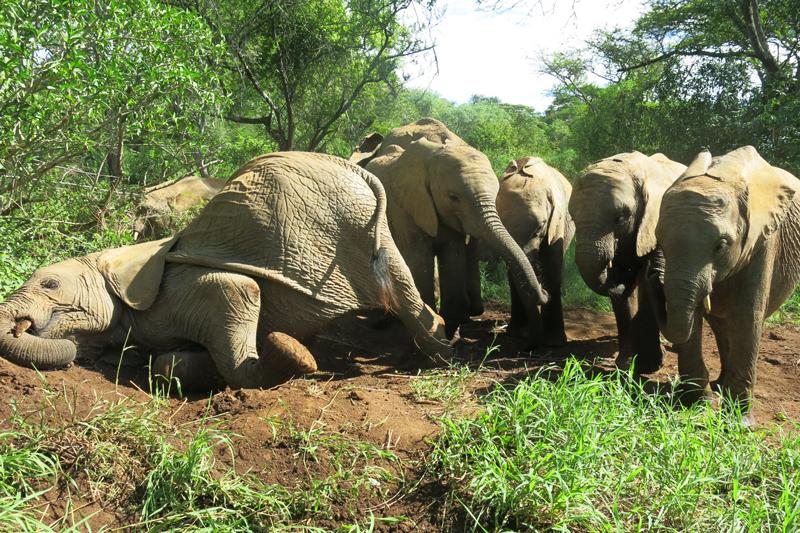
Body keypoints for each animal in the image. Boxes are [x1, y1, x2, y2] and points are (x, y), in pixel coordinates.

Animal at [0, 152, 451, 390]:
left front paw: (289, 351)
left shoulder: (168, 289)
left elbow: (239, 291)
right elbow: (161, 357)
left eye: (50, 284)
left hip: (352, 219)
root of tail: (359, 170)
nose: (20, 325)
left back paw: (442, 358)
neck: (112, 258)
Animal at [352, 118, 549, 342]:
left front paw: (451, 334)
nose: (546, 292)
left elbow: (453, 254)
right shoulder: (404, 205)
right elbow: (419, 257)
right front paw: (432, 333)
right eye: (453, 197)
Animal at [496, 157, 574, 345]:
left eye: (540, 227)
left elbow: (552, 266)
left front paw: (554, 342)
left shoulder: (557, 221)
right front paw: (517, 334)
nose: (543, 291)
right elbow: (513, 272)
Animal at [568, 151, 686, 373]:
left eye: (620, 219)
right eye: (572, 217)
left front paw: (651, 363)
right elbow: (625, 296)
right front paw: (625, 363)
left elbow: (649, 280)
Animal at [645, 146, 800, 411]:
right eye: (662, 243)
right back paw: (719, 385)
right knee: (720, 323)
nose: (654, 272)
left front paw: (739, 416)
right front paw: (700, 404)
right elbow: (695, 315)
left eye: (721, 245)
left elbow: (748, 314)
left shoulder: (763, 239)